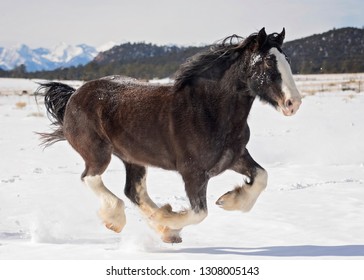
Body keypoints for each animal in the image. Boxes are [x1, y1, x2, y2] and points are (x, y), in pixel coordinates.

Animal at [36, 27, 302, 243]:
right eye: (267, 62)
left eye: (287, 59)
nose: (293, 103)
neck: (209, 111)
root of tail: (74, 95)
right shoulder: (193, 173)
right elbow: (200, 212)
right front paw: (167, 219)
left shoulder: (235, 157)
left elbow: (262, 177)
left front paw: (229, 200)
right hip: (98, 153)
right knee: (91, 178)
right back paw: (119, 220)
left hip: (133, 158)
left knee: (133, 191)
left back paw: (161, 228)